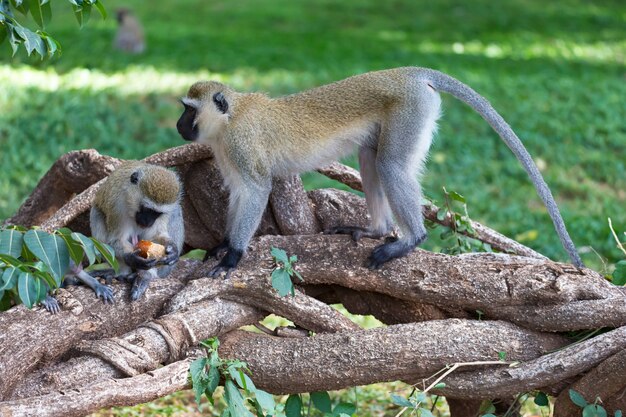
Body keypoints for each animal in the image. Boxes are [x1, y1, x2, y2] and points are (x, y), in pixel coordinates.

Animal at [89, 159, 183, 300]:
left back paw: (144, 276)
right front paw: (133, 258)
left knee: (176, 210)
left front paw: (172, 249)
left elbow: (156, 235)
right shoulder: (116, 205)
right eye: (147, 209)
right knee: (96, 213)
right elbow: (116, 239)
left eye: (157, 213)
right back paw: (122, 272)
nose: (147, 222)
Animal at [177, 67, 584, 276]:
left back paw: (409, 240)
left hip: (410, 111)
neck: (230, 119)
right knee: (370, 157)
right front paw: (222, 246)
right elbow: (238, 195)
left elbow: (256, 190)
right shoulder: (227, 153)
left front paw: (232, 256)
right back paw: (378, 229)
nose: (180, 125)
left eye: (188, 109)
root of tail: (407, 74)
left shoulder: (241, 146)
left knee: (389, 164)